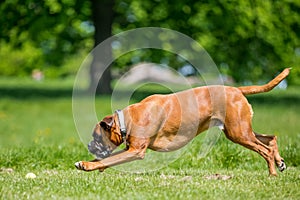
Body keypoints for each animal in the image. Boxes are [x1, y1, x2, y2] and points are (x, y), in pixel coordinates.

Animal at [75, 67, 290, 175]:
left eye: (96, 136)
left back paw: (272, 174)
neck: (126, 119)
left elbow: (109, 159)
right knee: (270, 139)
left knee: (265, 150)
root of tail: (236, 89)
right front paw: (87, 164)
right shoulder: (130, 149)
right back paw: (279, 162)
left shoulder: (135, 151)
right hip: (241, 131)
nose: (89, 145)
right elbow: (106, 160)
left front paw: (88, 165)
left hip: (239, 134)